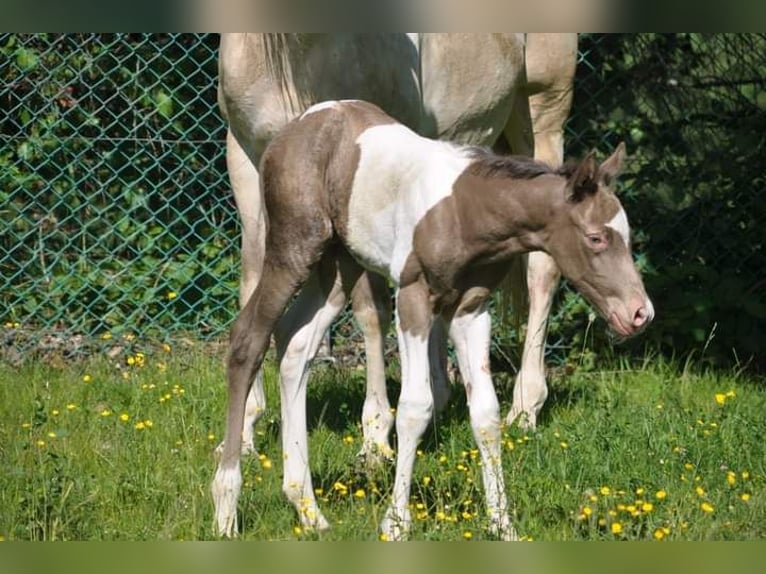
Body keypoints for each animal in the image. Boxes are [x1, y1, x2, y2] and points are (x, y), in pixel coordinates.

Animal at [213, 100, 656, 544]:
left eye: (628, 235)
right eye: (596, 237)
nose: (640, 313)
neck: (466, 211)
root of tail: (297, 127)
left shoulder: (471, 310)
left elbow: (487, 414)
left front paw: (503, 524)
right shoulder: (412, 298)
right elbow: (415, 407)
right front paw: (395, 523)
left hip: (337, 266)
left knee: (295, 344)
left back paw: (306, 508)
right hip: (294, 246)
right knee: (248, 338)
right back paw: (226, 507)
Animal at [219, 32, 580, 468]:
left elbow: (370, 309)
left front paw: (375, 437)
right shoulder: (245, 157)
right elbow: (251, 281)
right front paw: (244, 433)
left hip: (543, 115)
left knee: (542, 270)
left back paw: (525, 408)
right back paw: (441, 399)